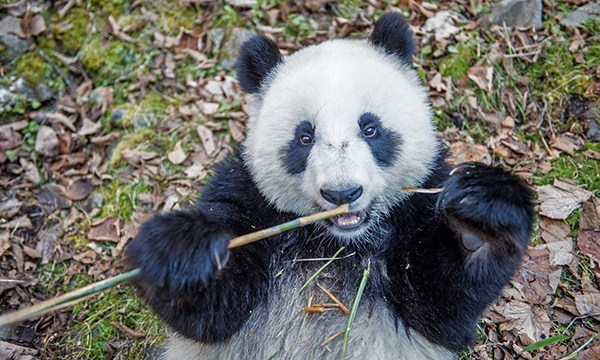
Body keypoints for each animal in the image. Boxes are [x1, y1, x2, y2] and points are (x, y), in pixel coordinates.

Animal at [127, 12, 536, 358]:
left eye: (370, 129)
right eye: (304, 137)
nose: (342, 193)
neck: (337, 244)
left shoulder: (419, 203)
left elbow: (443, 305)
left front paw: (478, 222)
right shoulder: (247, 197)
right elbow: (212, 316)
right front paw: (184, 252)